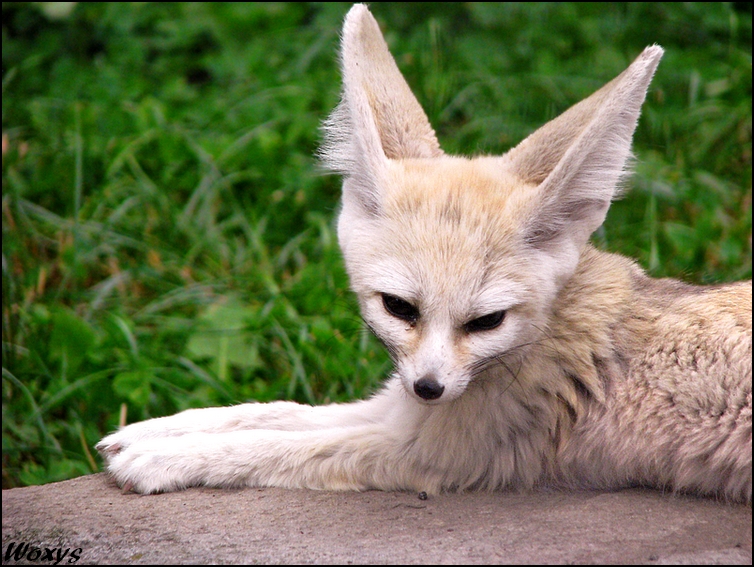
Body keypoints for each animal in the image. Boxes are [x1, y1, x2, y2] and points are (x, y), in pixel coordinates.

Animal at [97, 4, 748, 502]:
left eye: (487, 321)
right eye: (399, 308)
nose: (431, 388)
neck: (551, 331)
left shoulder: (431, 453)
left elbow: (283, 445)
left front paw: (164, 460)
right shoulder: (398, 407)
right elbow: (276, 409)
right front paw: (157, 430)